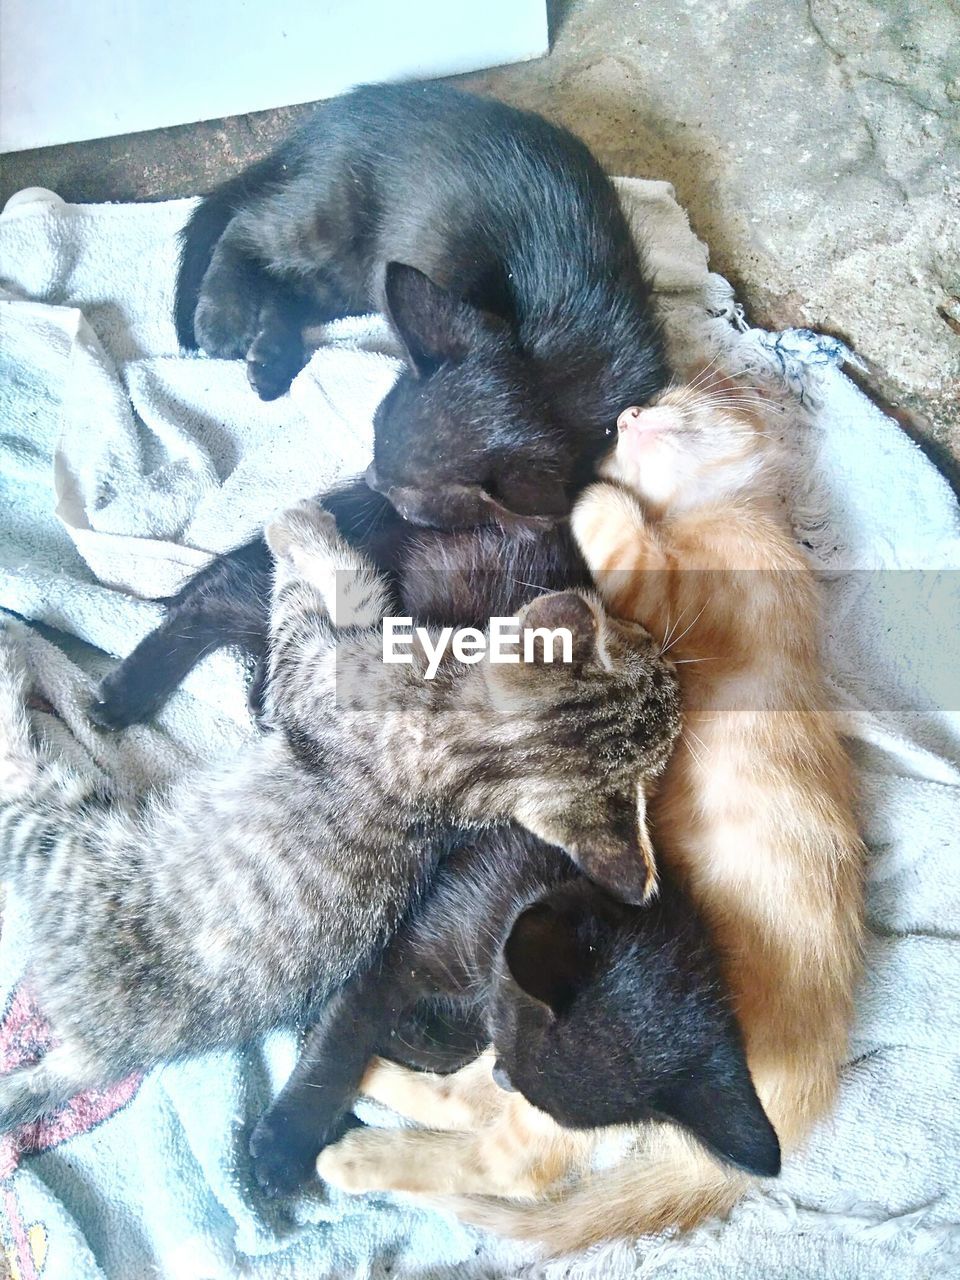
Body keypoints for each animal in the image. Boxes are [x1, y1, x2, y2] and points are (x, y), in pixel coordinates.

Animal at [0, 501, 680, 1162]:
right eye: (640, 643)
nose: (670, 656)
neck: (474, 748)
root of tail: (102, 1051)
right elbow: (357, 591)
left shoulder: (307, 670)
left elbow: (318, 593)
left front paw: (300, 527)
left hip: (61, 824)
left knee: (22, 765)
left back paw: (20, 653)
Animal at [175, 81, 670, 529]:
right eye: (376, 429)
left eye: (407, 504)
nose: (371, 480)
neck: (560, 372)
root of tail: (330, 116)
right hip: (331, 218)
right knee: (244, 225)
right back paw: (221, 318)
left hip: (354, 277)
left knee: (287, 289)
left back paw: (272, 359)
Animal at [320, 373, 870, 1254]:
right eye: (642, 410)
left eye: (677, 404)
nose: (629, 415)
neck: (729, 515)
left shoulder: (674, 599)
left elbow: (618, 535)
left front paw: (588, 490)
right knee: (486, 1106)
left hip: (564, 1054)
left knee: (506, 1146)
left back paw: (359, 1137)